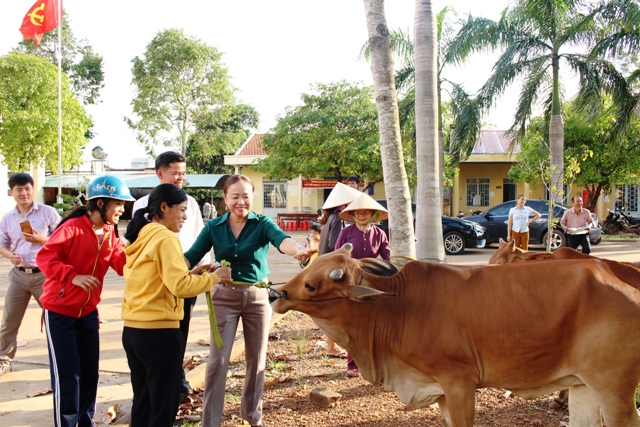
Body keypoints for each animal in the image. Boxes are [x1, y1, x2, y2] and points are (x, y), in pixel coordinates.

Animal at [272, 244, 640, 427]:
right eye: (307, 266)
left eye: (311, 285)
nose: (276, 294)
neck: (394, 308)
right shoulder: (440, 392)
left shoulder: (460, 383)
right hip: (583, 386)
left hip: (615, 391)